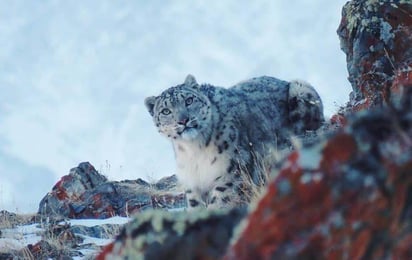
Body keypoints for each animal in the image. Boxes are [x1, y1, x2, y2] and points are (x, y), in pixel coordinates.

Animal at [146, 74, 324, 209]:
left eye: (189, 100)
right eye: (165, 111)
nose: (183, 120)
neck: (194, 150)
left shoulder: (233, 170)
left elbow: (220, 200)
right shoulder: (192, 183)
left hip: (300, 89)